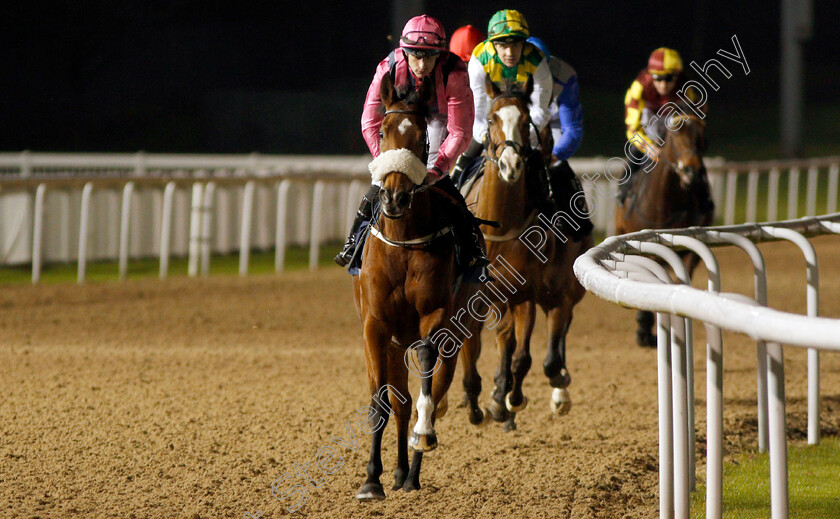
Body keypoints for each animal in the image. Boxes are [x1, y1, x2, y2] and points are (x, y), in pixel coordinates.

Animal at [352, 73, 476, 500]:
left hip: (457, 335)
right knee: (401, 401)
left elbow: (426, 363)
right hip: (393, 342)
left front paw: (423, 436)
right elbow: (381, 401)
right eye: (384, 131)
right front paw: (371, 480)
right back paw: (399, 472)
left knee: (433, 392)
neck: (403, 239)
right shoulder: (375, 325)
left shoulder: (434, 316)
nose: (394, 196)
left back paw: (413, 472)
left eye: (421, 135)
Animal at [460, 77, 592, 432]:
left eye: (525, 121)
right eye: (492, 118)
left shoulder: (532, 293)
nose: (511, 165)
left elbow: (529, 358)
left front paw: (514, 398)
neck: (499, 227)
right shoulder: (487, 295)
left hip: (557, 292)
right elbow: (492, 346)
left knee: (549, 342)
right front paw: (491, 400)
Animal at [612, 114, 712, 346]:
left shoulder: (691, 250)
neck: (665, 204)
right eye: (675, 136)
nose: (692, 171)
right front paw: (644, 329)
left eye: (701, 136)